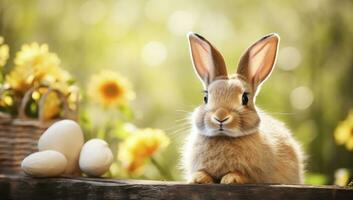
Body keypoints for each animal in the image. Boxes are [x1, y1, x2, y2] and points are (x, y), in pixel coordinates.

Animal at [180, 32, 304, 184]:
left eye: (245, 98)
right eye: (206, 98)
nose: (220, 117)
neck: (224, 137)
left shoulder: (257, 175)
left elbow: (244, 176)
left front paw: (231, 179)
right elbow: (203, 172)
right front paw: (198, 178)